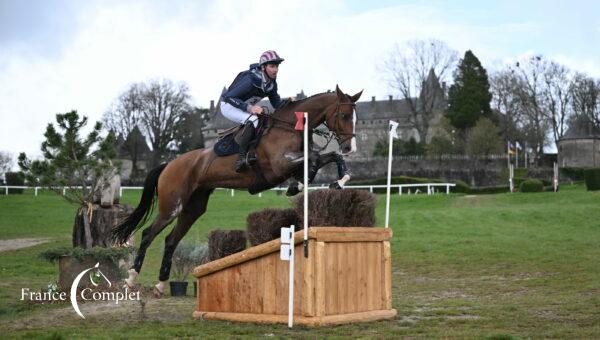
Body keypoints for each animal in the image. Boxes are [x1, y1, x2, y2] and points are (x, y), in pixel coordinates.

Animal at [115, 85, 364, 298]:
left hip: (193, 209)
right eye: (344, 115)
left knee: (170, 240)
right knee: (148, 234)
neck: (289, 127)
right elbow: (313, 158)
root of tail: (169, 165)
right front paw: (300, 184)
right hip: (172, 206)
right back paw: (130, 279)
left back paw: (159, 285)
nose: (350, 148)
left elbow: (328, 157)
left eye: (355, 118)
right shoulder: (279, 165)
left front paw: (338, 181)